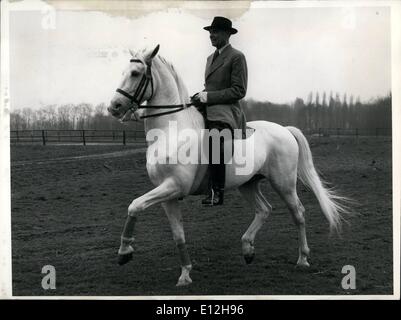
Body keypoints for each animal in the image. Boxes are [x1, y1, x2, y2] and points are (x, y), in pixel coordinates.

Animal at [106, 44, 346, 284]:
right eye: (123, 72)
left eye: (135, 73)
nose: (113, 107)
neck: (172, 131)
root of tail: (284, 129)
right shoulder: (168, 195)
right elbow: (177, 234)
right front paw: (185, 273)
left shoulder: (174, 186)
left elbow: (134, 205)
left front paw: (124, 251)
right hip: (248, 184)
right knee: (264, 209)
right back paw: (247, 249)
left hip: (284, 183)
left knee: (298, 213)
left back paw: (302, 258)